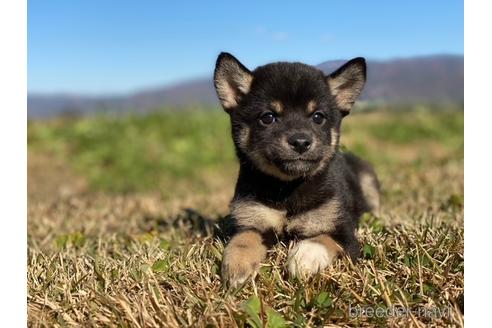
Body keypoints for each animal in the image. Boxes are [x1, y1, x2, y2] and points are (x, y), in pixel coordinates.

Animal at [212, 52, 380, 288]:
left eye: (318, 117)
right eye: (268, 117)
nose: (301, 142)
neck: (287, 189)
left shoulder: (344, 233)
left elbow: (321, 239)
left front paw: (304, 257)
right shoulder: (251, 222)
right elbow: (242, 240)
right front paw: (237, 266)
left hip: (367, 179)